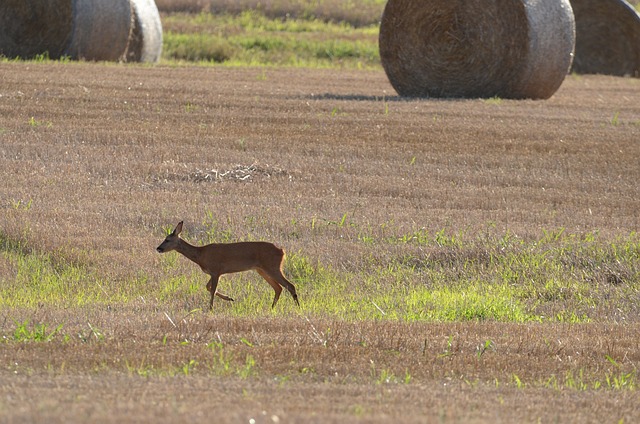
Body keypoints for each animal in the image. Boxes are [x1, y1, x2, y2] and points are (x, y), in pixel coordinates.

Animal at [159, 220, 302, 310]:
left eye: (167, 239)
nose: (158, 248)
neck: (200, 255)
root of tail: (282, 251)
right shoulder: (214, 272)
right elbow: (208, 287)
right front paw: (230, 298)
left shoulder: (216, 270)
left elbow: (212, 289)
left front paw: (211, 308)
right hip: (261, 269)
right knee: (278, 288)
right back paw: (271, 308)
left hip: (272, 267)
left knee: (290, 285)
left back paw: (298, 307)